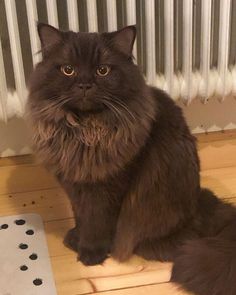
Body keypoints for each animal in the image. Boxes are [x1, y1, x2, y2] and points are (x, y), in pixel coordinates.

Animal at [27, 24, 236, 295]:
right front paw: (75, 237)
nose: (84, 84)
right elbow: (80, 216)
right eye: (68, 69)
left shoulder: (110, 188)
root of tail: (201, 203)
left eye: (102, 70)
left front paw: (91, 253)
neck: (85, 130)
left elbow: (96, 223)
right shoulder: (74, 185)